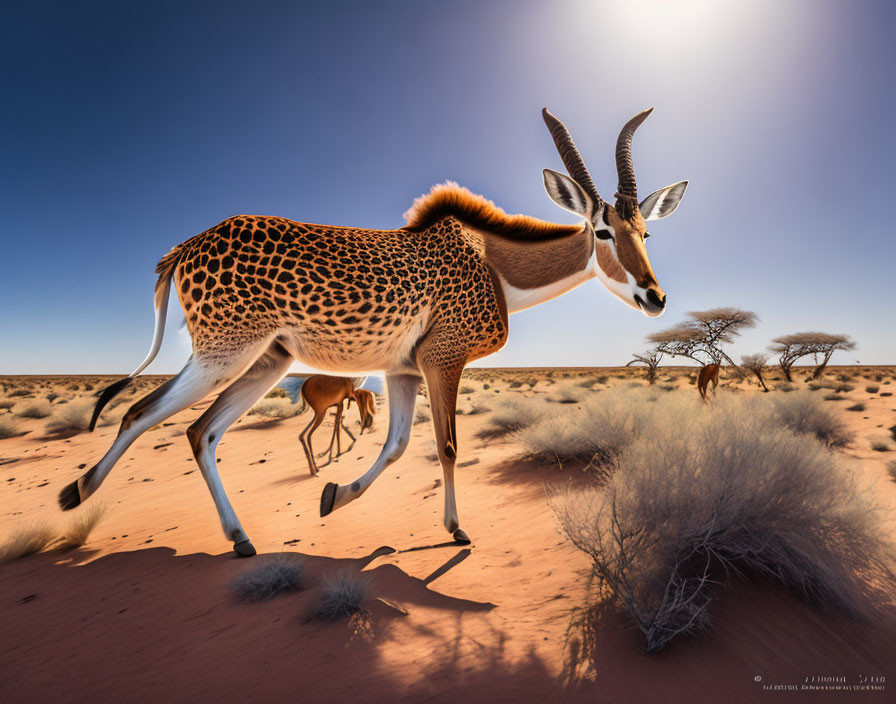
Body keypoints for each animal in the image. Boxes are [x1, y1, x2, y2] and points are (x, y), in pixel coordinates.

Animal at [63, 107, 688, 556]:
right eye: (603, 231)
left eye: (645, 232)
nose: (654, 297)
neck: (492, 261)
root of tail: (188, 245)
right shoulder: (441, 362)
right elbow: (446, 445)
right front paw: (457, 531)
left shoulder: (400, 372)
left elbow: (396, 446)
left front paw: (332, 495)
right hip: (224, 354)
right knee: (142, 412)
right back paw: (77, 494)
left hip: (267, 362)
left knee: (200, 431)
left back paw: (238, 538)